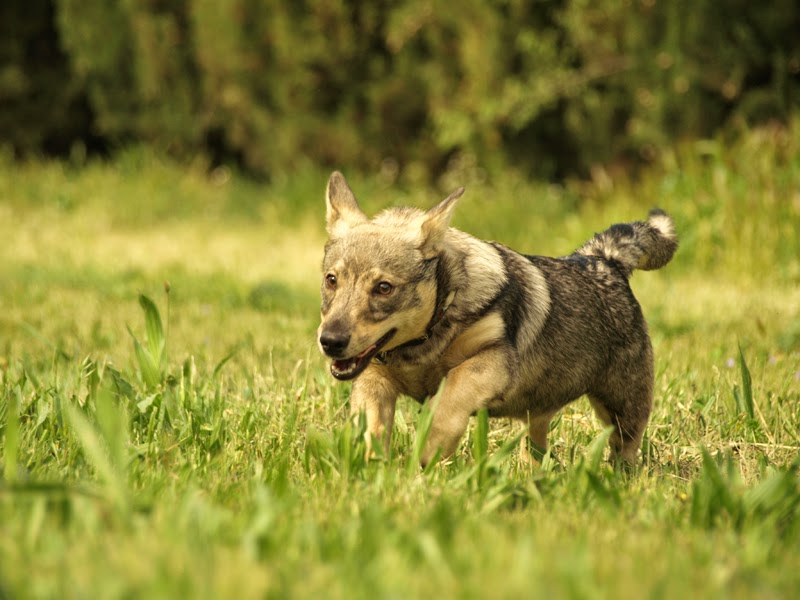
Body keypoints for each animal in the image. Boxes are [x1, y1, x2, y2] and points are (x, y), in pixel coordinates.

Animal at [316, 171, 680, 466]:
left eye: (384, 288)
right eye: (331, 280)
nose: (330, 342)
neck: (425, 341)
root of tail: (604, 260)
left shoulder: (495, 361)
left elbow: (450, 395)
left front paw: (427, 450)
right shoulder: (373, 373)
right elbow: (371, 425)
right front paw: (370, 467)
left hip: (622, 407)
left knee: (626, 448)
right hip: (541, 413)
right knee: (536, 449)